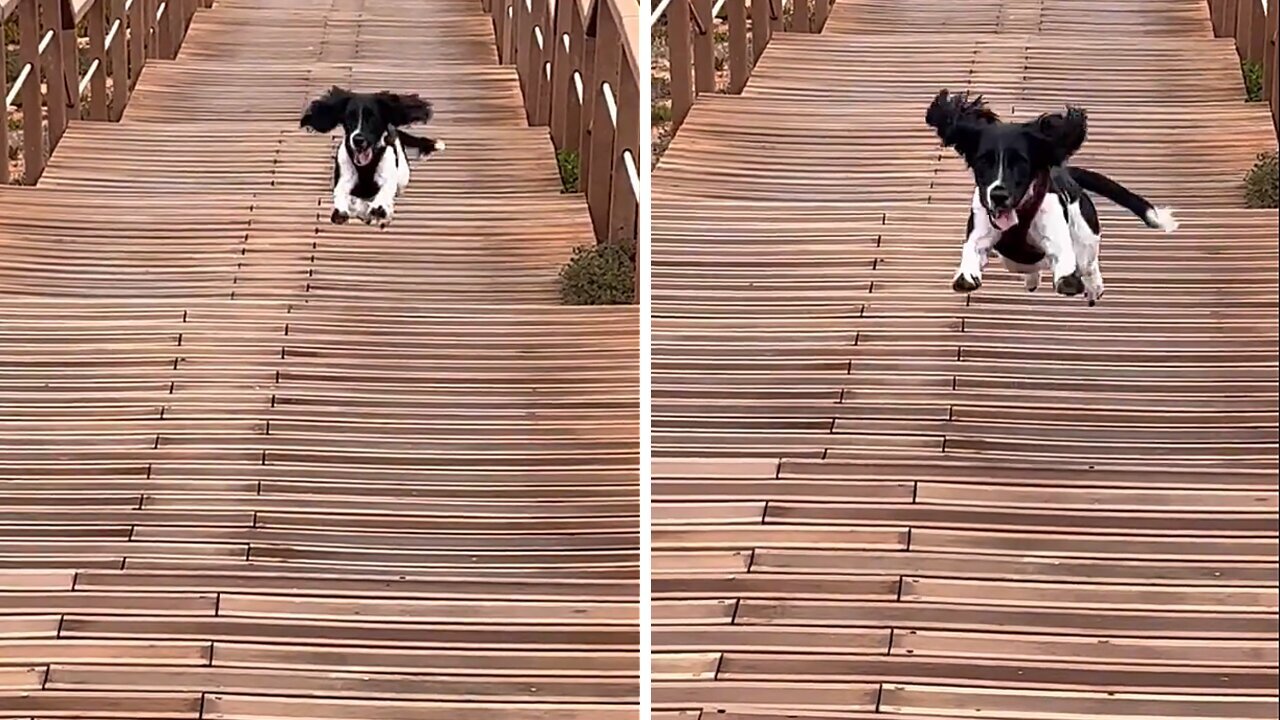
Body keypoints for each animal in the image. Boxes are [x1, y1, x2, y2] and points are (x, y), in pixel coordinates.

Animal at [299, 87, 445, 226]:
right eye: (349, 117)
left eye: (373, 117)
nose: (358, 140)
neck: (366, 167)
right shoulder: (344, 179)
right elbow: (341, 194)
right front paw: (344, 210)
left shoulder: (388, 177)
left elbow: (384, 192)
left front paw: (378, 208)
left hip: (403, 175)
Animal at [926, 89, 1172, 302]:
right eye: (983, 161)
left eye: (1021, 163)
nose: (998, 195)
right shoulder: (980, 228)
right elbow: (971, 249)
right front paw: (966, 275)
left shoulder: (1057, 236)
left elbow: (1065, 260)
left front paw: (1068, 280)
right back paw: (1032, 280)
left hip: (1086, 236)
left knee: (1089, 266)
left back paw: (1094, 287)